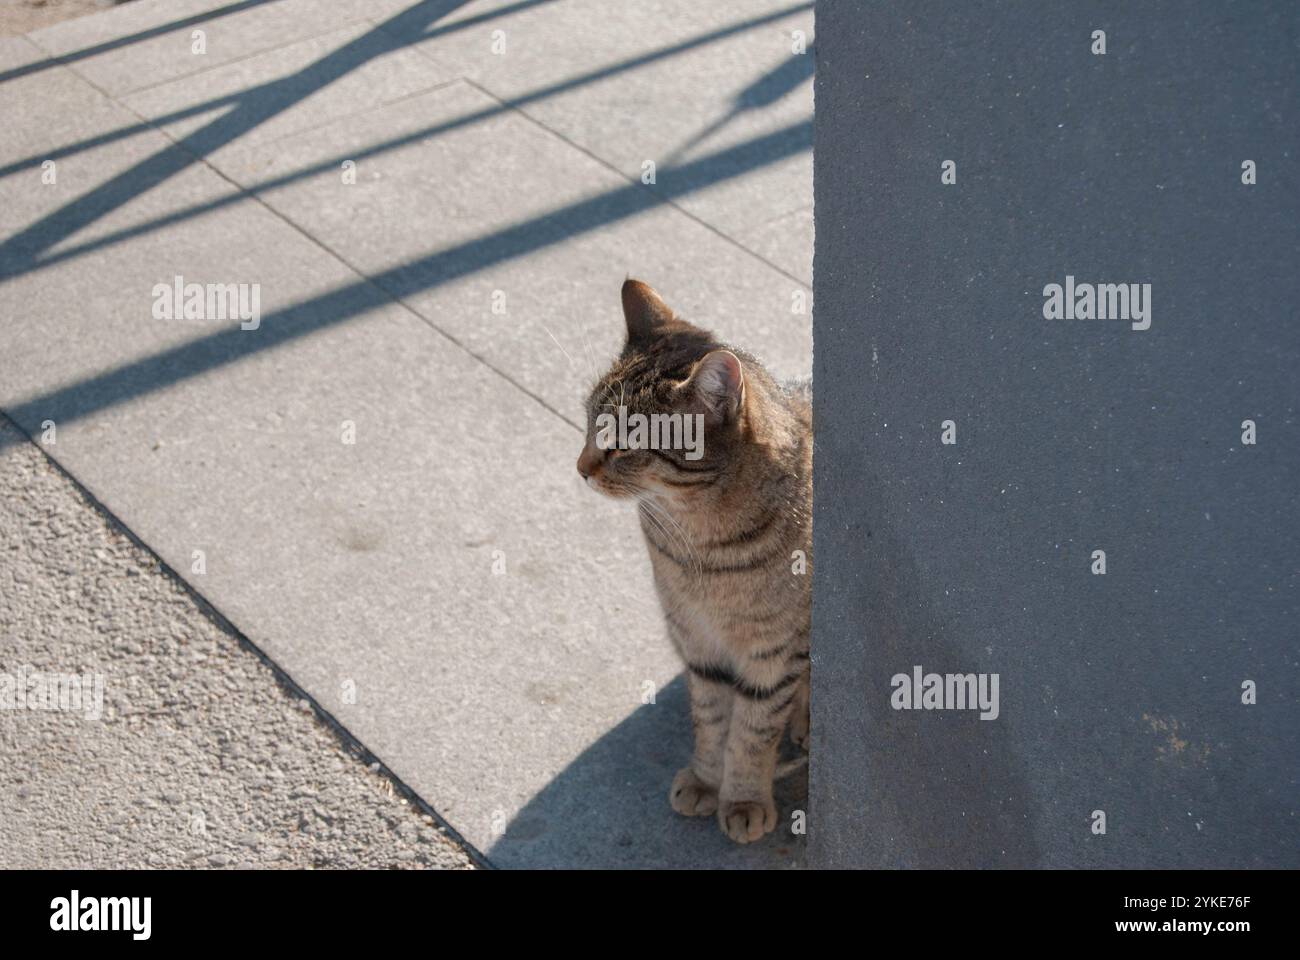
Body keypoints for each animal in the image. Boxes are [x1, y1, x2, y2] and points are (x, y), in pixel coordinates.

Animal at [579, 277, 811, 837]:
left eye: (624, 444)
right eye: (588, 422)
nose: (579, 467)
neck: (703, 545)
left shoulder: (774, 654)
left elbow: (752, 731)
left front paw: (744, 798)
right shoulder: (697, 642)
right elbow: (711, 720)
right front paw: (707, 780)